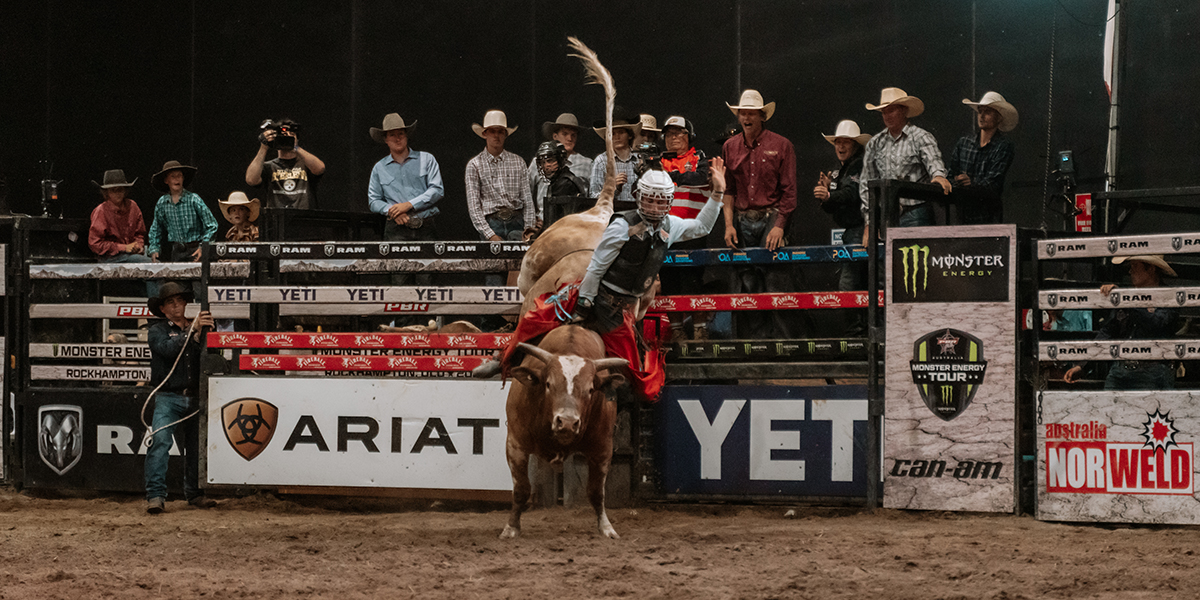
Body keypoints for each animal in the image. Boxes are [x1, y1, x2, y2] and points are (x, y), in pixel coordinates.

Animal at [496, 326, 628, 542]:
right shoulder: (516, 444)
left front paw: (606, 528)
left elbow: (596, 492)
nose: (566, 422)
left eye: (590, 389)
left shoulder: (602, 449)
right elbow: (521, 489)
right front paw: (511, 527)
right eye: (548, 384)